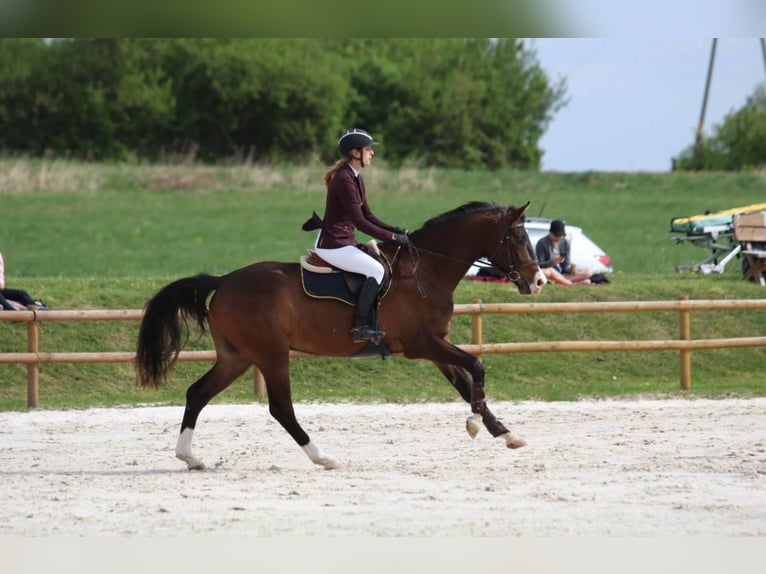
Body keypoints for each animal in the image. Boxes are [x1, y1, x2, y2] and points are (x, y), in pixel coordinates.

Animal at [135, 200, 548, 470]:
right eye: (517, 237)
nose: (539, 281)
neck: (425, 270)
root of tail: (224, 281)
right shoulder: (423, 345)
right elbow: (476, 366)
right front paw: (477, 424)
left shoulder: (434, 346)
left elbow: (464, 382)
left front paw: (503, 433)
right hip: (270, 354)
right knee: (280, 408)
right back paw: (323, 457)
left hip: (237, 357)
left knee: (198, 393)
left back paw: (190, 457)